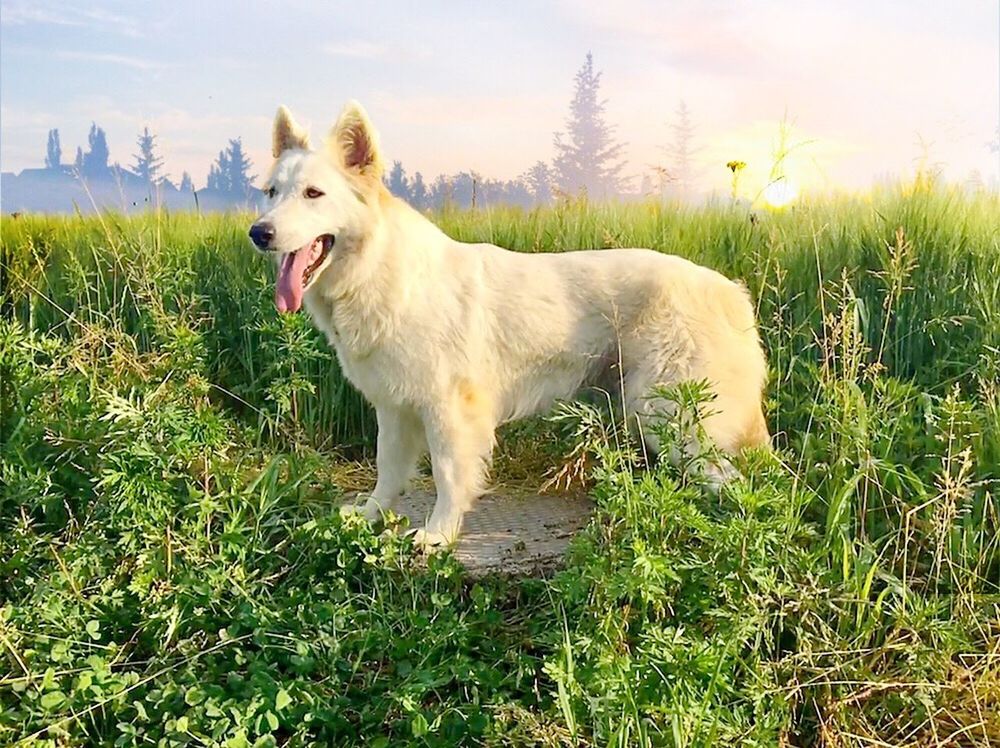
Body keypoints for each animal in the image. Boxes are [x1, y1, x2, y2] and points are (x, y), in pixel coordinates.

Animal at [248, 102, 764, 548]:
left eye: (313, 194)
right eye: (272, 193)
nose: (259, 232)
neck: (379, 271)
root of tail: (732, 294)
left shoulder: (448, 411)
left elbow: (448, 474)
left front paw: (439, 534)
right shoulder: (394, 408)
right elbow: (387, 470)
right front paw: (371, 515)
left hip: (668, 416)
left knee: (731, 481)